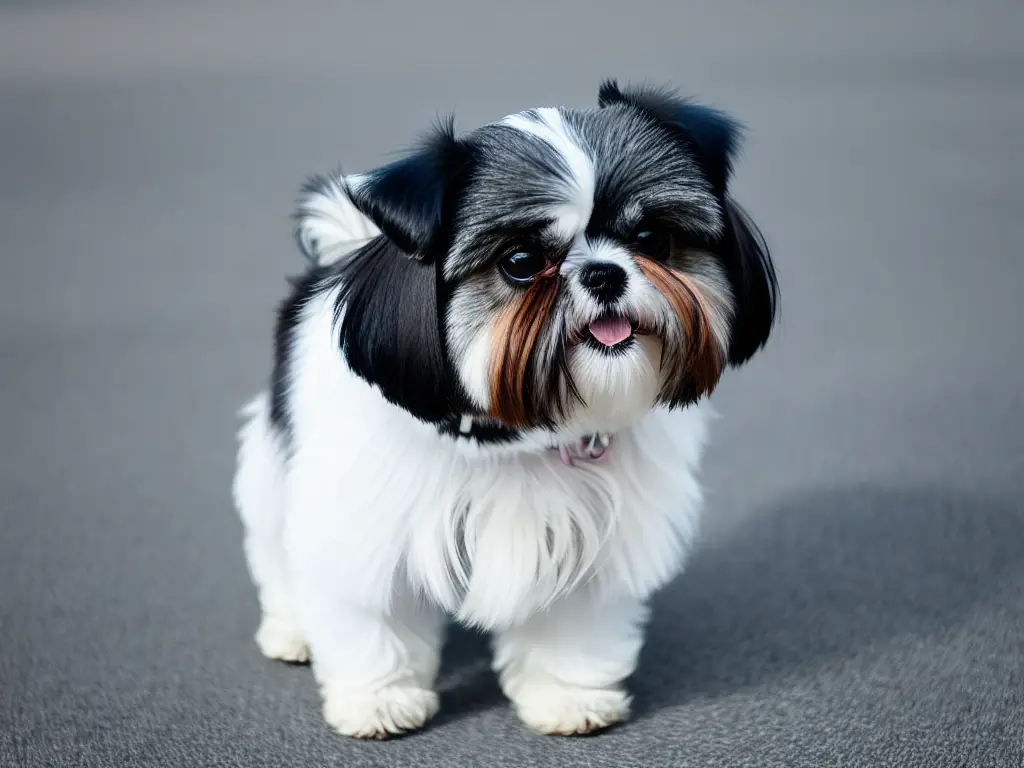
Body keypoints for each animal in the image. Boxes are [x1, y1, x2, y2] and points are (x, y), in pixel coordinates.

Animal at [232, 79, 774, 741]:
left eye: (652, 240)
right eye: (520, 262)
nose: (604, 272)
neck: (514, 436)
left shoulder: (586, 538)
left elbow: (572, 626)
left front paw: (568, 698)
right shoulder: (363, 523)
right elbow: (374, 620)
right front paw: (380, 701)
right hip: (272, 469)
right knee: (275, 551)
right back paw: (291, 630)